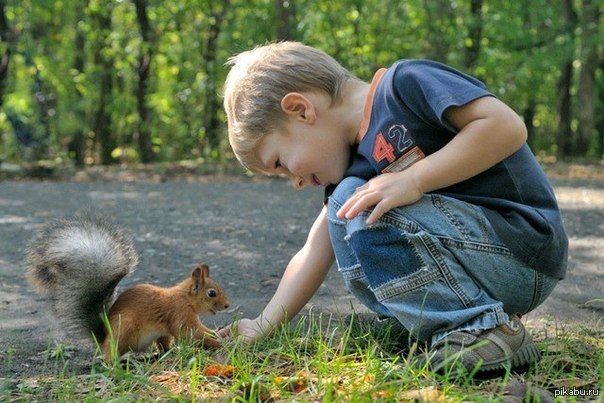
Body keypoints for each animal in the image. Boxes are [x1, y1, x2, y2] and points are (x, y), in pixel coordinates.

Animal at [24, 211, 230, 362]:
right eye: (212, 293)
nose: (227, 305)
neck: (185, 297)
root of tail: (103, 338)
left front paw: (216, 333)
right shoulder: (179, 312)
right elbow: (191, 333)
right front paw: (220, 344)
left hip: (155, 334)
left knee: (162, 344)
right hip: (125, 329)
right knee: (110, 357)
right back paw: (120, 363)